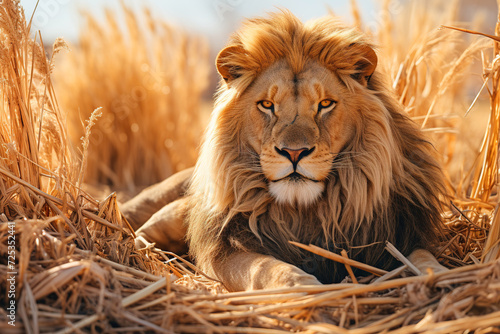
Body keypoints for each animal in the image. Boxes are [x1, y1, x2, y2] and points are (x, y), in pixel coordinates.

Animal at [122, 11, 450, 290]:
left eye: (325, 104)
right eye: (267, 105)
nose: (294, 153)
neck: (304, 211)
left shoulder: (399, 234)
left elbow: (421, 257)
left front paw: (440, 275)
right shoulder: (225, 247)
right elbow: (264, 268)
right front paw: (303, 286)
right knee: (138, 234)